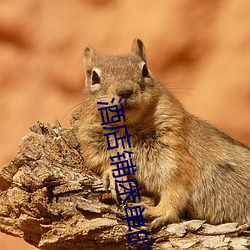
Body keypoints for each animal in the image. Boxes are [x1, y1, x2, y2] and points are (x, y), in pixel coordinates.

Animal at [77, 38, 249, 229]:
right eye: (94, 77)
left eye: (145, 70)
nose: (125, 91)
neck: (128, 127)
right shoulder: (92, 144)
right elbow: (102, 162)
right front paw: (114, 175)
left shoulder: (175, 155)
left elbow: (175, 189)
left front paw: (156, 211)